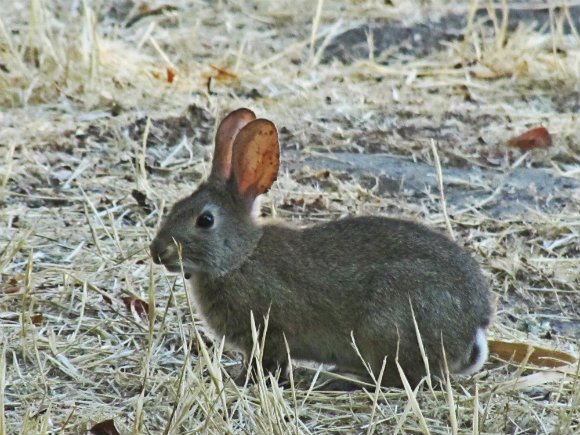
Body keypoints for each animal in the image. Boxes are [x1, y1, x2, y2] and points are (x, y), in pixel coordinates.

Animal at [148, 109, 490, 388]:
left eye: (205, 220)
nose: (157, 251)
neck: (242, 257)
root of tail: (474, 326)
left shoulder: (270, 331)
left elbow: (265, 363)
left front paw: (241, 379)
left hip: (388, 325)